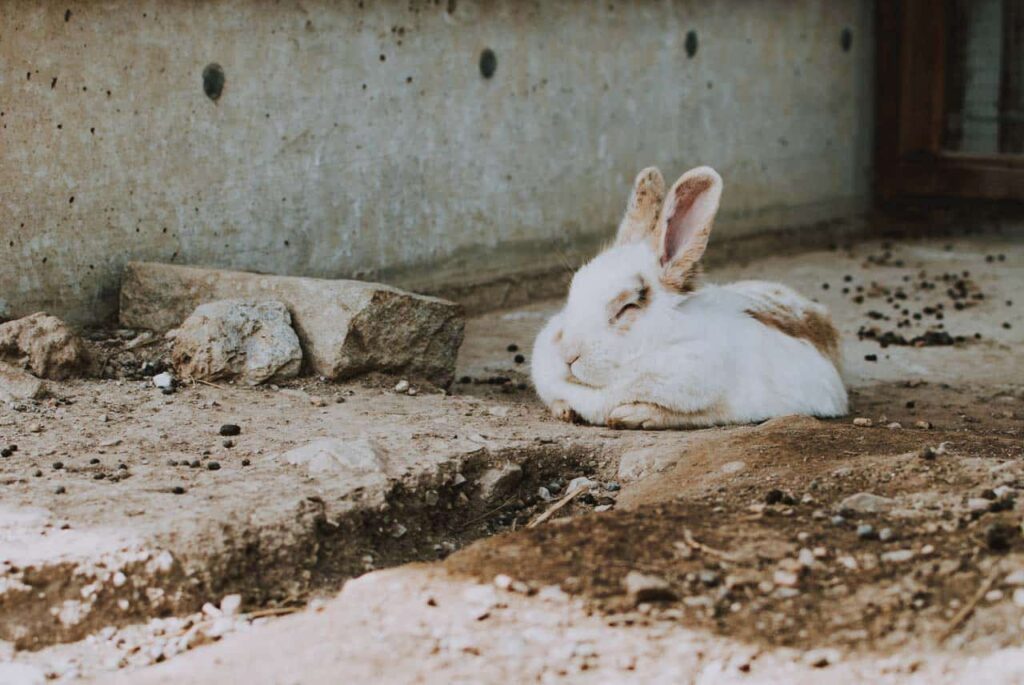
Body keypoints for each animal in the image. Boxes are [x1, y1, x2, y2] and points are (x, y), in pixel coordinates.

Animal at [531, 165, 848, 429]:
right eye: (574, 290)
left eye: (627, 307)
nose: (567, 355)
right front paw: (564, 410)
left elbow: (693, 413)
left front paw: (632, 415)